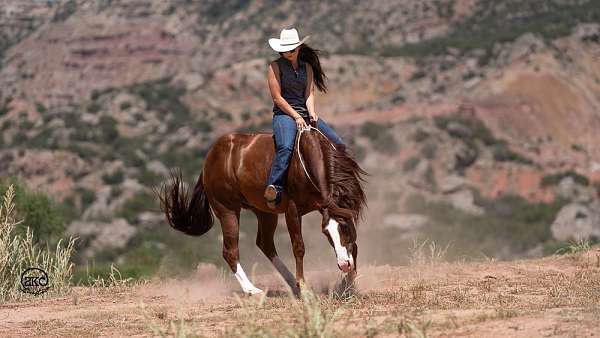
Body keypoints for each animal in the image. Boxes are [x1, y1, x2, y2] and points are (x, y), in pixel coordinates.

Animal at [158, 125, 366, 294]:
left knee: (265, 244)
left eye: (344, 227)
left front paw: (348, 284)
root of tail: (209, 160)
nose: (344, 264)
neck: (307, 160)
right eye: (326, 233)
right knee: (230, 251)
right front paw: (305, 286)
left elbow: (354, 245)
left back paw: (291, 283)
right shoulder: (292, 211)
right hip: (228, 211)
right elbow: (298, 247)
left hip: (265, 212)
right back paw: (252, 289)